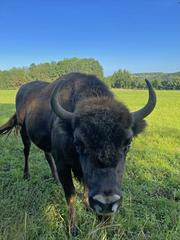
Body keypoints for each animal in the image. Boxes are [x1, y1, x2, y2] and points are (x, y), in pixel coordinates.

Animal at [0, 73, 156, 234]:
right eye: (79, 143)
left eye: (128, 143)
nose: (106, 203)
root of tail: (22, 89)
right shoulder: (63, 165)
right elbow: (71, 194)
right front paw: (73, 228)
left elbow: (86, 188)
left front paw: (87, 206)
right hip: (23, 130)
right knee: (26, 151)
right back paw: (26, 175)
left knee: (47, 155)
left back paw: (55, 179)